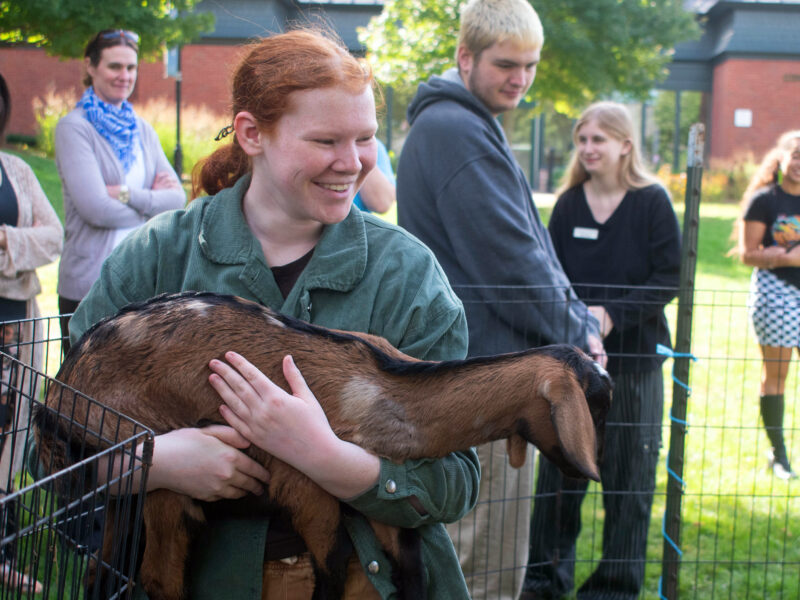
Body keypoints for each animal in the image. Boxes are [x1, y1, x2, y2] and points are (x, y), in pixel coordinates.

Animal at [35, 291, 612, 600]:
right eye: (599, 405)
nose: (588, 474)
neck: (381, 391)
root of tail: (55, 397)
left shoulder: (385, 503)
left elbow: (412, 573)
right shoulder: (308, 491)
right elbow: (331, 571)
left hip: (125, 495)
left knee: (105, 569)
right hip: (156, 469)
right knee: (158, 578)